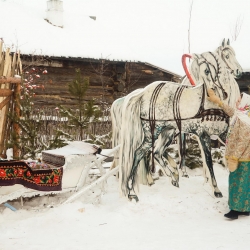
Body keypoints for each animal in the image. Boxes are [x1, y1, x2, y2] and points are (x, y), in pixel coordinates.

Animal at [116, 45, 241, 201]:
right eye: (205, 71)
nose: (216, 92)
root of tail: (143, 93)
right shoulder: (203, 135)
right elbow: (208, 162)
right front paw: (216, 189)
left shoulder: (224, 134)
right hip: (153, 132)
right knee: (139, 153)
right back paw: (132, 191)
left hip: (168, 132)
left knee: (156, 152)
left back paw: (173, 178)